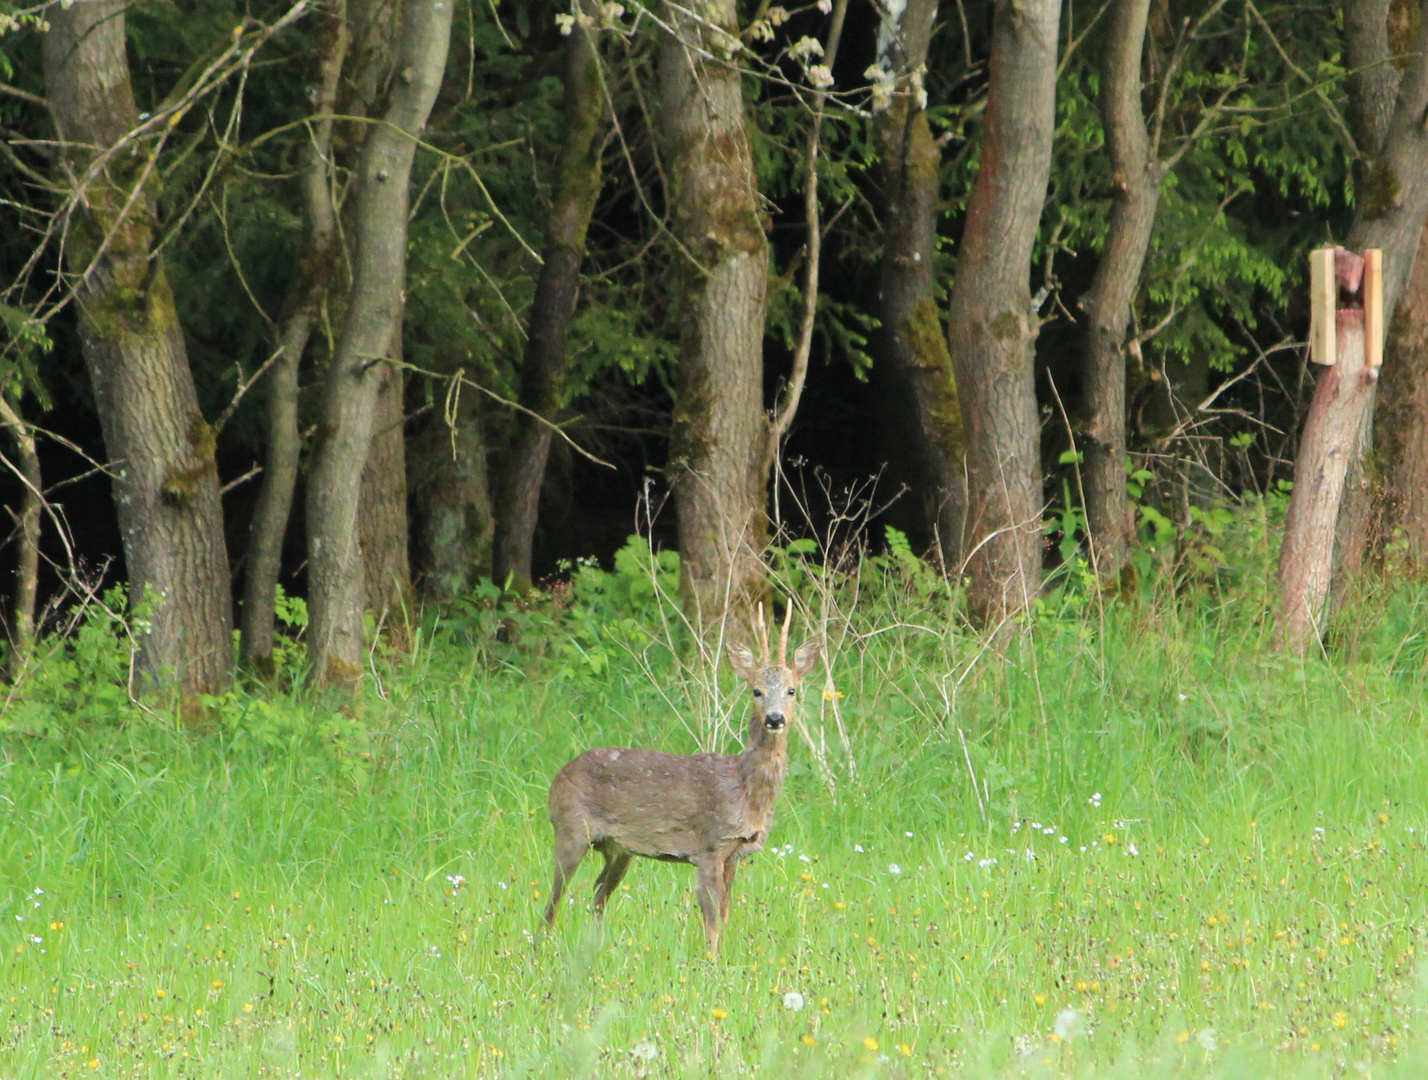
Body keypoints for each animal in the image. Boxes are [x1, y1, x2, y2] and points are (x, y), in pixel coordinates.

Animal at [539, 611, 822, 960]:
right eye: (756, 691)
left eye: (792, 690)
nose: (774, 718)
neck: (746, 790)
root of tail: (558, 777)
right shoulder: (711, 844)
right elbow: (712, 919)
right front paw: (711, 963)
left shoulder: (735, 854)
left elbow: (725, 915)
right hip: (570, 829)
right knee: (552, 903)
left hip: (619, 850)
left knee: (597, 895)